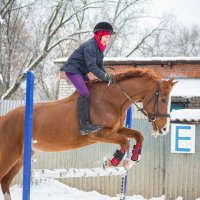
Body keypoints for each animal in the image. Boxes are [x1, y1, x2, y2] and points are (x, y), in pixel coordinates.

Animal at [0, 68, 177, 199]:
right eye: (163, 99)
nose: (164, 129)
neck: (112, 100)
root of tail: (3, 118)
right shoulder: (98, 134)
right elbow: (125, 141)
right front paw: (111, 162)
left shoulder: (115, 130)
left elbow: (138, 135)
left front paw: (131, 160)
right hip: (9, 154)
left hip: (21, 157)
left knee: (5, 181)